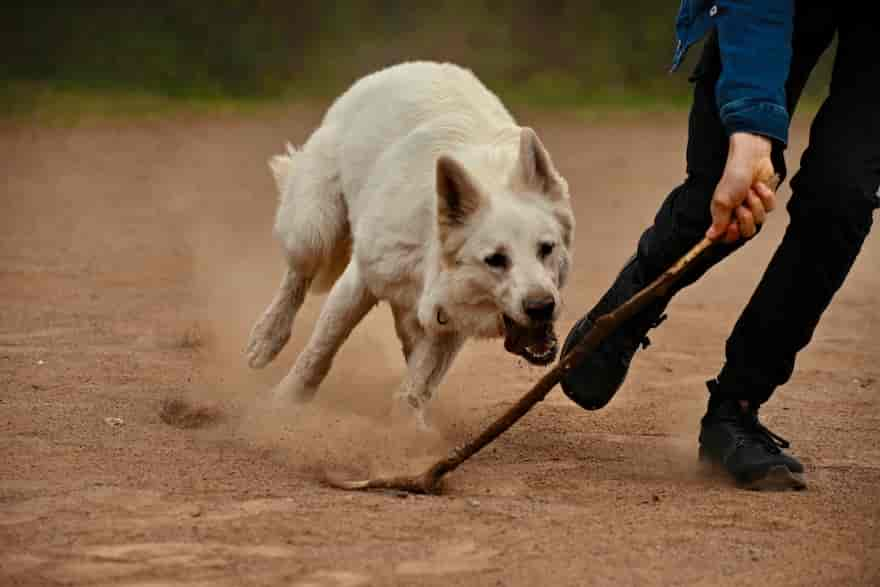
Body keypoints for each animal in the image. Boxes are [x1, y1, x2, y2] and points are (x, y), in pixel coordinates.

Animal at [246, 63, 576, 428]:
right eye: (495, 259)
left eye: (546, 248)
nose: (541, 307)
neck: (431, 251)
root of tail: (402, 68)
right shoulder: (359, 280)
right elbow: (321, 348)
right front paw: (285, 403)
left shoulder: (449, 318)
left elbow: (418, 381)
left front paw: (406, 430)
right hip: (313, 229)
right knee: (296, 278)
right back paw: (266, 338)